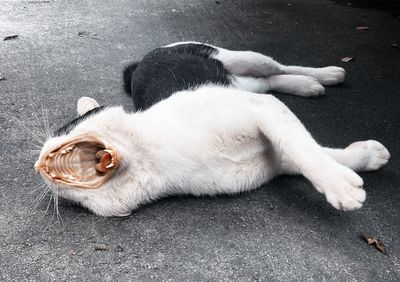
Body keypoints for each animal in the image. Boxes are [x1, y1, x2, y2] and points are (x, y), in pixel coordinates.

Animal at [34, 41, 390, 216]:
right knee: (271, 80)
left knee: (276, 66)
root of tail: (141, 62)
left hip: (242, 57)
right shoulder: (274, 155)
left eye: (64, 131)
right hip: (245, 81)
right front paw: (366, 157)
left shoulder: (264, 111)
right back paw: (307, 85)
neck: (156, 157)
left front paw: (339, 186)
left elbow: (307, 151)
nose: (37, 164)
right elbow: (319, 152)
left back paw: (325, 74)